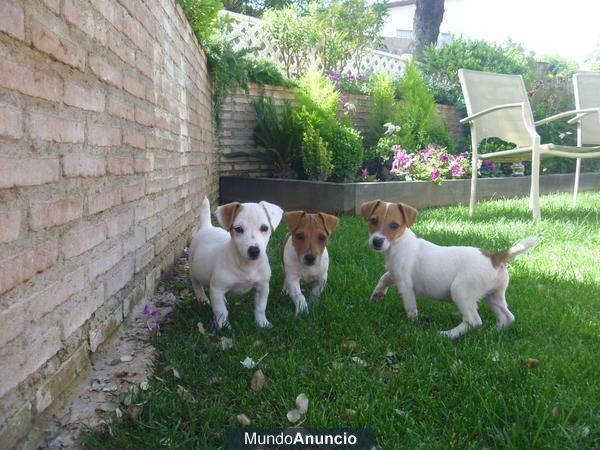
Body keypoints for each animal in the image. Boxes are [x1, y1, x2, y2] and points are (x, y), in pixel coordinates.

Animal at [191, 197, 284, 326]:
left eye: (264, 228)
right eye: (239, 229)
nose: (254, 250)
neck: (247, 265)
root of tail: (207, 227)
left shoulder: (263, 287)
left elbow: (261, 307)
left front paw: (262, 323)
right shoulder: (217, 289)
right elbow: (221, 311)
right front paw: (223, 326)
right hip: (194, 270)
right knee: (196, 285)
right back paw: (202, 299)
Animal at [358, 199, 536, 340]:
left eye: (394, 225)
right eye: (373, 220)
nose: (377, 241)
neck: (399, 242)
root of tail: (494, 257)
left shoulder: (405, 284)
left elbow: (410, 307)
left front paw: (412, 324)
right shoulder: (394, 273)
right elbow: (384, 277)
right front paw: (377, 294)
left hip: (460, 290)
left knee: (474, 321)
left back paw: (448, 334)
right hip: (493, 296)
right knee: (507, 316)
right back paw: (493, 332)